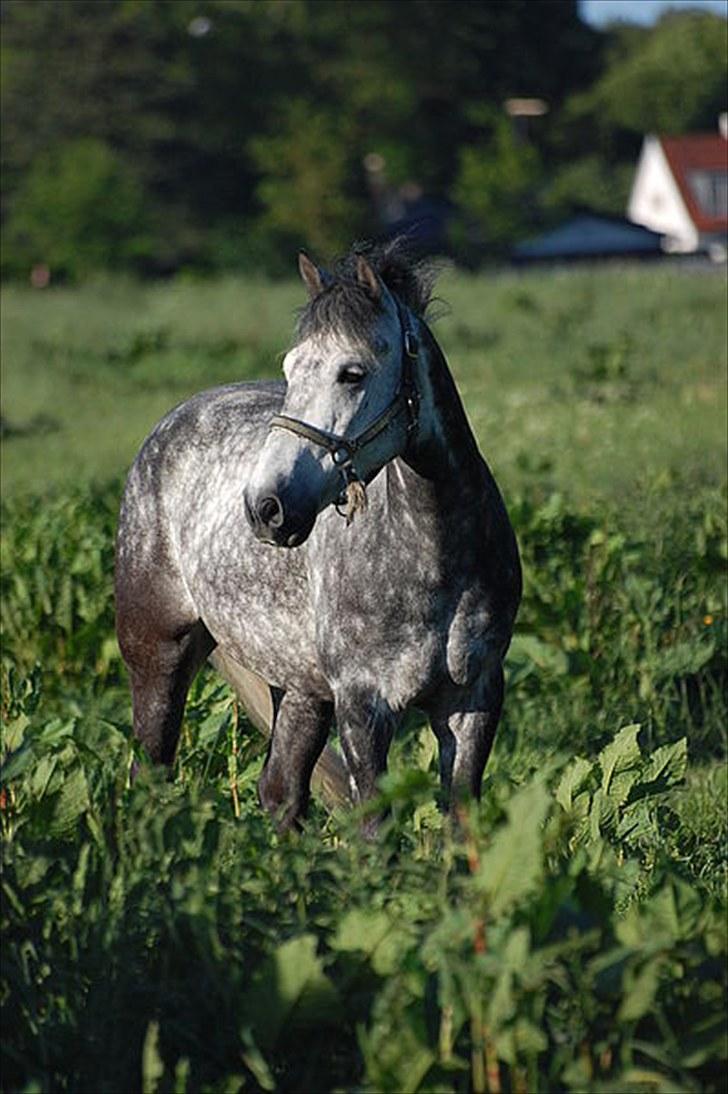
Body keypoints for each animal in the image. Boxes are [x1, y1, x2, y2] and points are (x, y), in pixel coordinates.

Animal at [115, 242, 521, 832]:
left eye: (352, 373)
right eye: (290, 368)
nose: (266, 507)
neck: (435, 556)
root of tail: (170, 424)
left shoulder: (474, 701)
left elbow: (461, 826)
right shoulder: (363, 707)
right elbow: (375, 830)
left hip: (301, 688)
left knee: (280, 792)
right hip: (158, 658)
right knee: (151, 776)